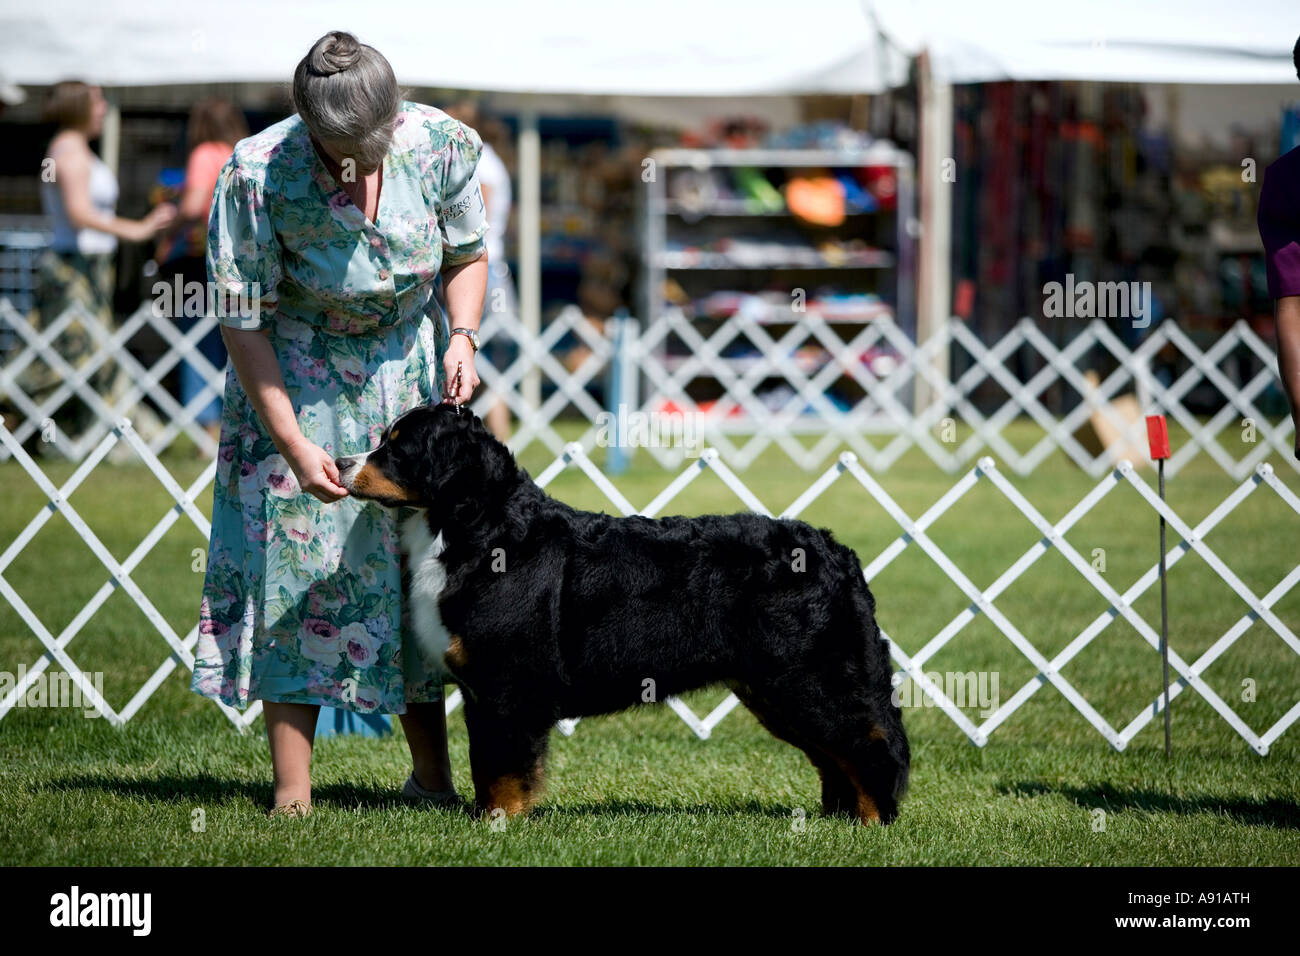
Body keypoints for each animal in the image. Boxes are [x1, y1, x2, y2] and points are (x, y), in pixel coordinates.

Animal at [335, 403, 909, 822]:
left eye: (397, 447)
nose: (340, 464)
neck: (478, 529)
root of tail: (836, 552)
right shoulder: (482, 691)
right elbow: (488, 763)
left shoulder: (507, 686)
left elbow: (504, 766)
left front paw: (498, 824)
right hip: (774, 690)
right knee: (834, 756)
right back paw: (839, 820)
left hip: (809, 680)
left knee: (867, 746)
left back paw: (872, 822)